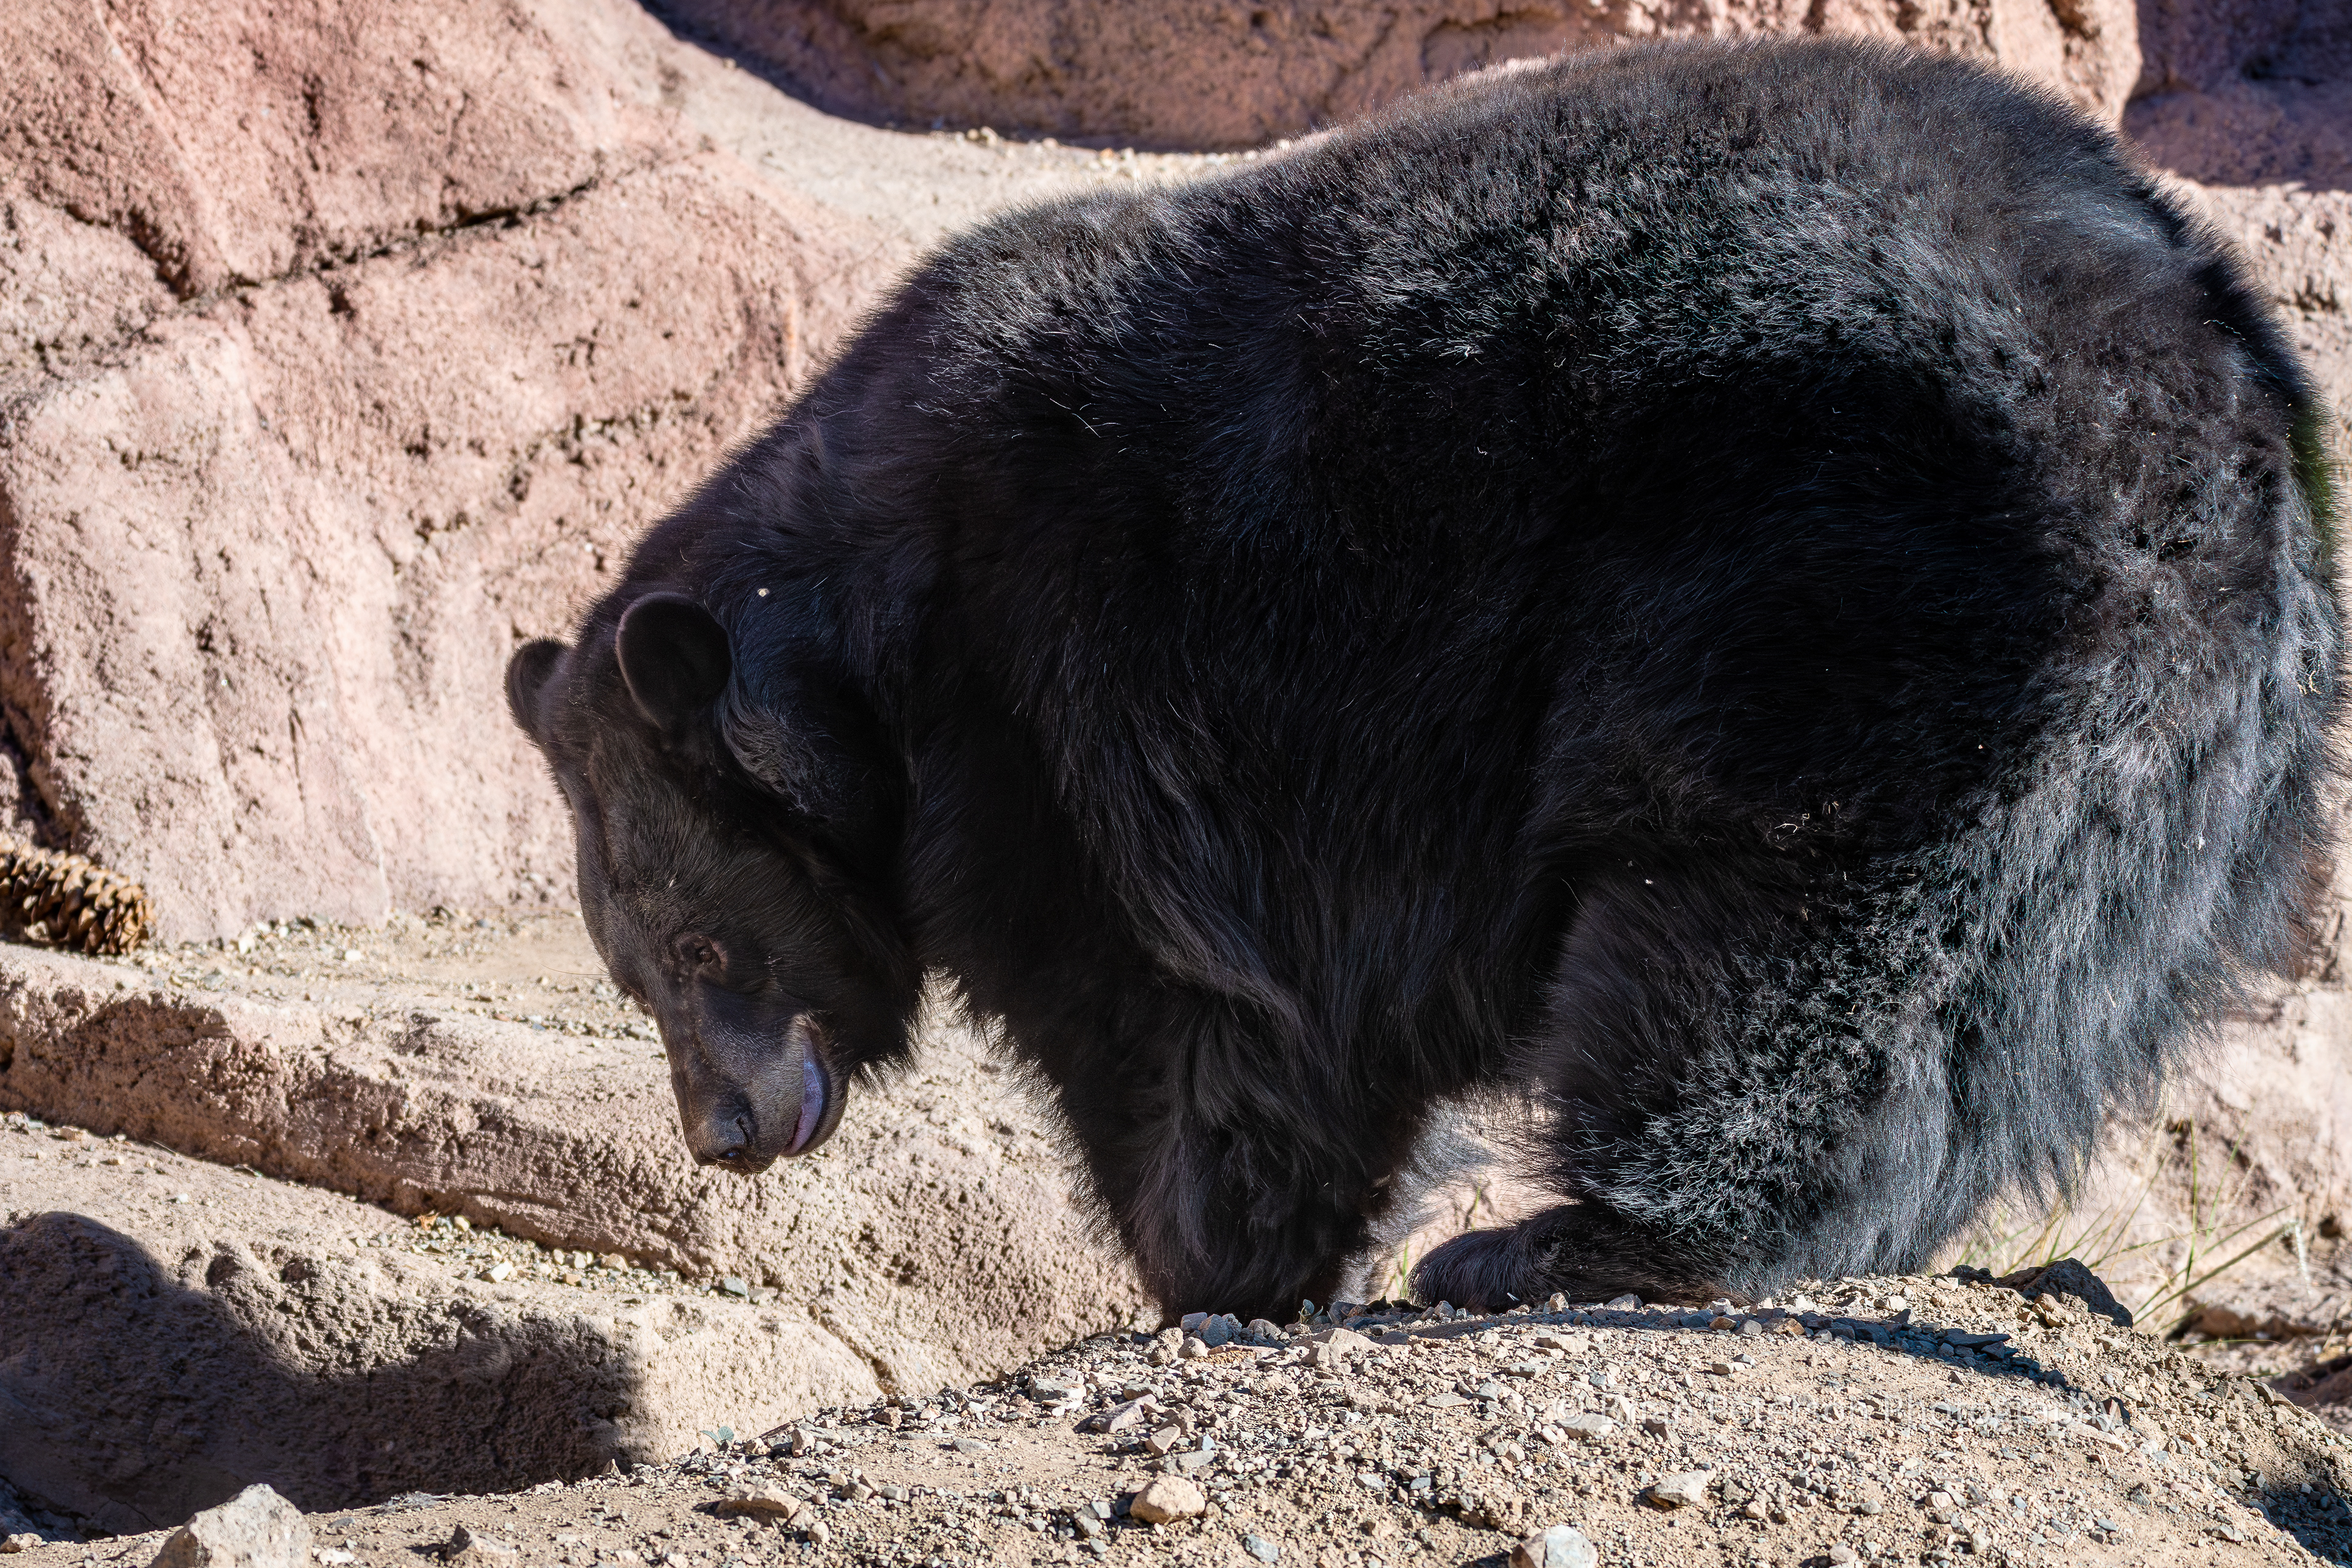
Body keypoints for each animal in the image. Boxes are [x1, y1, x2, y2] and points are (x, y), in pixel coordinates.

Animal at [505, 38, 2341, 1323]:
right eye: (634, 973)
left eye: (703, 943)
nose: (724, 1132)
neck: (865, 634)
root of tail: (2205, 401)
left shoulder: (1069, 683)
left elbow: (1177, 989)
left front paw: (1209, 1255)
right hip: (2176, 741)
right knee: (2003, 974)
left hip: (1850, 582)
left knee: (1790, 937)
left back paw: (1574, 1242)